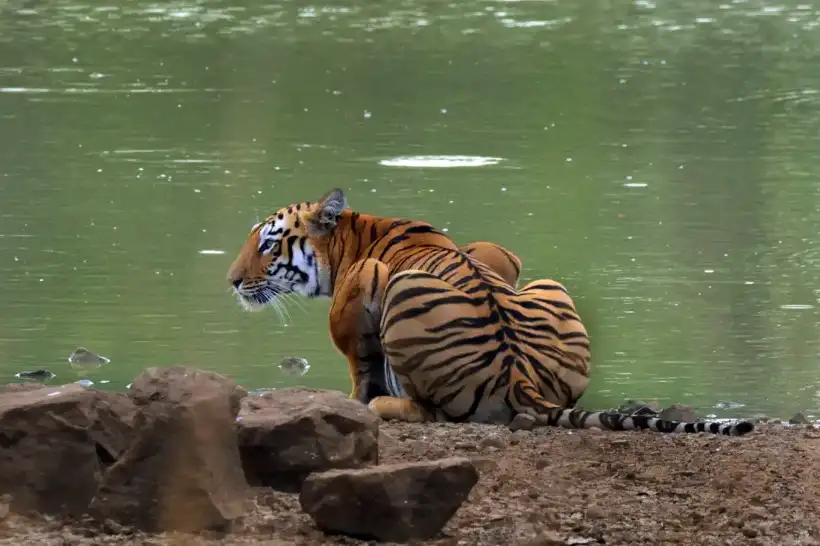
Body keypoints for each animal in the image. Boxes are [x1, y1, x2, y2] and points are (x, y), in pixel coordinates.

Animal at [226, 188, 754, 436]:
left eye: (267, 244)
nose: (230, 280)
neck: (354, 238)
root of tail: (519, 377)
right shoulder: (498, 255)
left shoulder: (362, 283)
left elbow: (359, 366)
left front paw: (352, 401)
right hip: (551, 285)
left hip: (403, 289)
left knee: (427, 411)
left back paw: (383, 405)